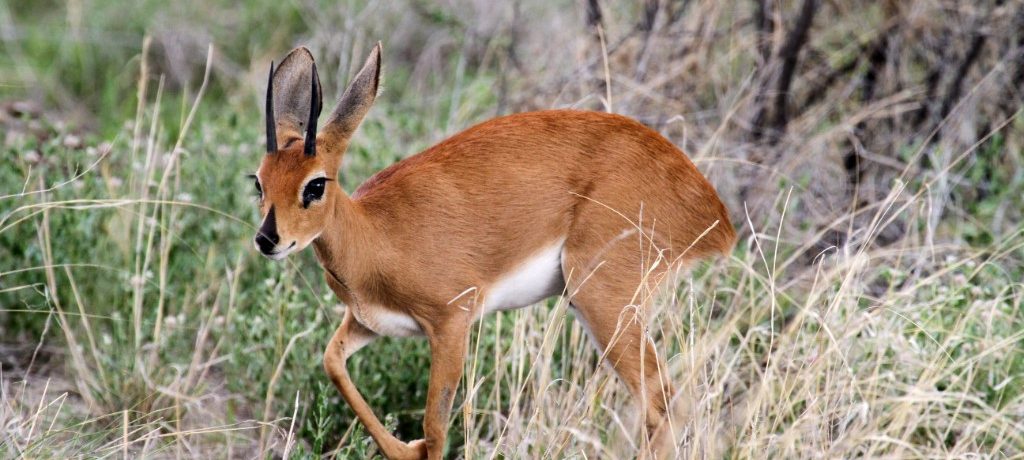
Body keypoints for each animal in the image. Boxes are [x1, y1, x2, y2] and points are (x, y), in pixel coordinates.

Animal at [252, 42, 737, 454]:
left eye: (315, 185)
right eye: (259, 181)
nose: (267, 239)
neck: (374, 235)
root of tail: (713, 210)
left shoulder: (451, 322)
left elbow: (435, 426)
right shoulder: (368, 322)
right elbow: (332, 361)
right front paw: (403, 448)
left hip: (603, 302)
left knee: (665, 404)